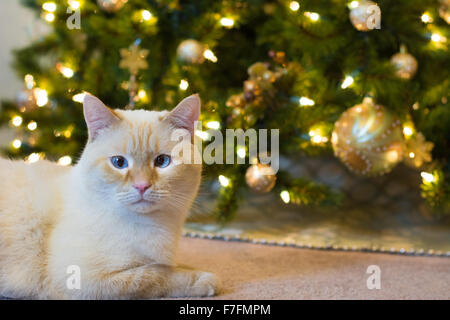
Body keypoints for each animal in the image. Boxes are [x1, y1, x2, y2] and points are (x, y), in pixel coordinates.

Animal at [0, 94, 220, 298]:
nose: (141, 186)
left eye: (162, 161)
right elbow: (153, 275)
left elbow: (166, 266)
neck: (154, 224)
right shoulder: (83, 278)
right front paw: (204, 279)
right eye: (119, 163)